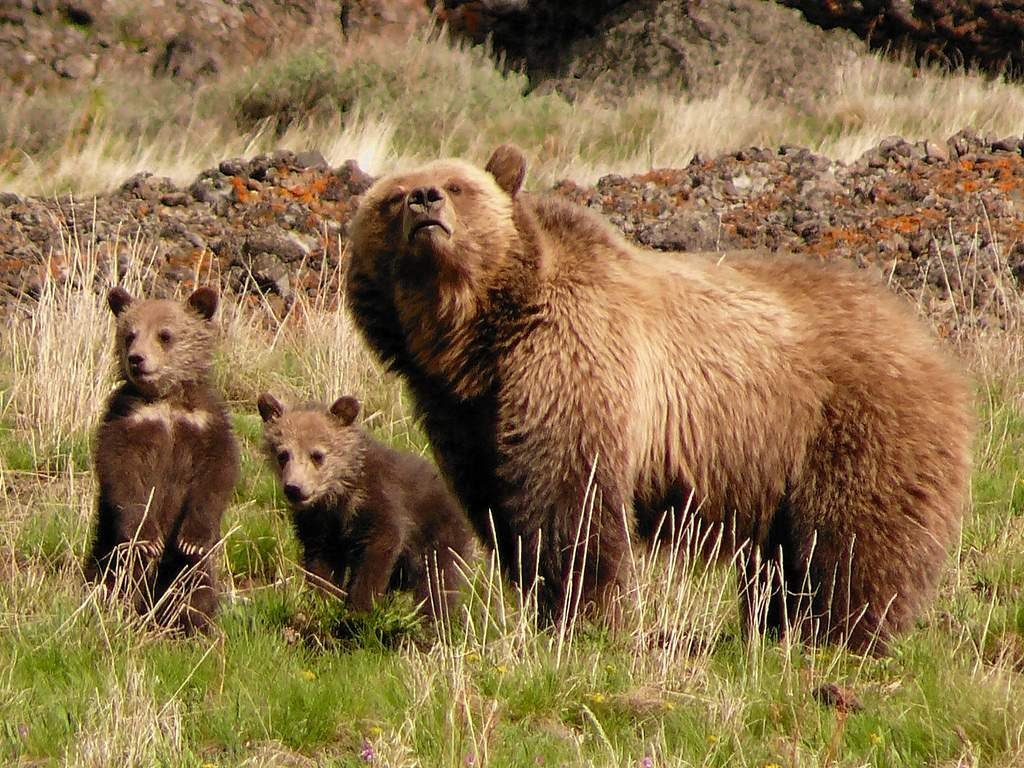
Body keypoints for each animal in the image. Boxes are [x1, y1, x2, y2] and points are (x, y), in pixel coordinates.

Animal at [346, 145, 974, 655]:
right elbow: (501, 504)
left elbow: (571, 500)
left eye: (457, 186)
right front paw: (545, 599)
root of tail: (928, 341)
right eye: (392, 198)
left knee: (852, 538)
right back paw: (777, 628)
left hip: (851, 421)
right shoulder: (463, 411)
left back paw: (841, 633)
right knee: (780, 557)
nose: (424, 200)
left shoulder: (573, 362)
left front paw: (587, 613)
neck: (478, 335)